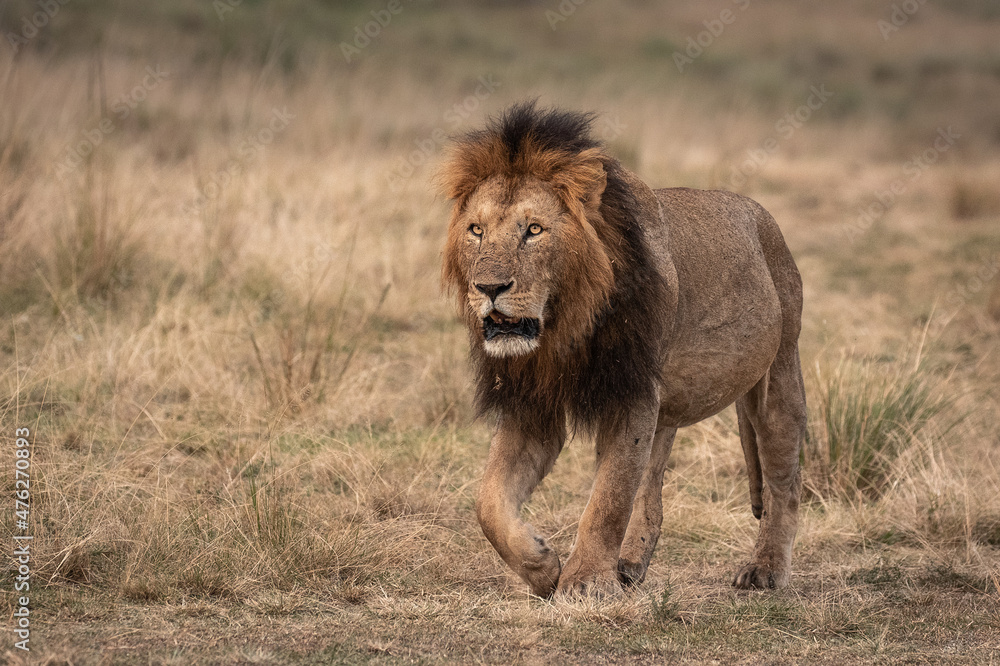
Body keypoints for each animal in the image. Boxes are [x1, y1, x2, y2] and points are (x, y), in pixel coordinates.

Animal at [438, 104, 804, 596]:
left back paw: (766, 568)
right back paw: (629, 565)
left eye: (534, 230)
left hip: (779, 372)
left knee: (785, 481)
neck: (564, 326)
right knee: (650, 489)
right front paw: (541, 565)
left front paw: (586, 582)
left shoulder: (631, 394)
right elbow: (489, 503)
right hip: (665, 409)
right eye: (476, 230)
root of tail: (760, 213)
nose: (488, 288)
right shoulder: (533, 405)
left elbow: (608, 499)